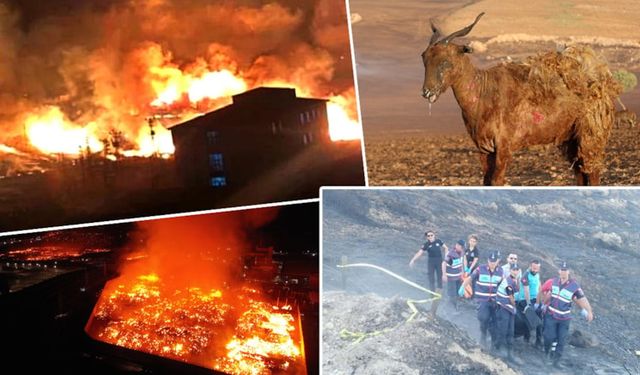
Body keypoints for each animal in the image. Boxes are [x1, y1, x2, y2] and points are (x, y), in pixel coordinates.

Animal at [420, 12, 620, 186]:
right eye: (424, 58)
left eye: (446, 61)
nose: (427, 92)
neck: (484, 92)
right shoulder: (484, 149)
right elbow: (486, 181)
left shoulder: (504, 146)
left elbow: (496, 181)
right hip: (571, 139)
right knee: (580, 174)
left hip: (590, 136)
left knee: (592, 172)